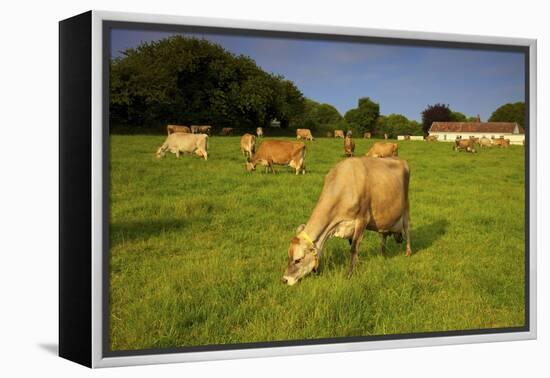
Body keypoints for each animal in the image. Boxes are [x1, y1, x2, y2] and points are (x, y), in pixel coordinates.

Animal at [282, 155, 412, 284]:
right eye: (288, 257)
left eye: (298, 260)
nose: (285, 279)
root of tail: (399, 159)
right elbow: (353, 246)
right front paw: (357, 265)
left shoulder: (362, 219)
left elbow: (353, 248)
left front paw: (349, 274)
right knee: (383, 235)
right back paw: (382, 254)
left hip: (406, 208)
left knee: (407, 229)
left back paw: (408, 252)